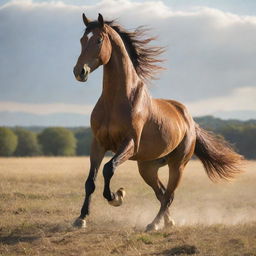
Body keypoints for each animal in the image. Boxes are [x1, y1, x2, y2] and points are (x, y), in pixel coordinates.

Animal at [72, 13, 244, 231]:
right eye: (81, 40)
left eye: (99, 40)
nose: (80, 71)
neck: (116, 100)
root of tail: (189, 120)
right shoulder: (98, 144)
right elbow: (90, 181)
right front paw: (81, 218)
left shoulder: (130, 144)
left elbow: (108, 168)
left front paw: (117, 196)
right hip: (148, 167)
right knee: (161, 193)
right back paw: (167, 221)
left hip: (177, 166)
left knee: (169, 195)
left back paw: (153, 224)